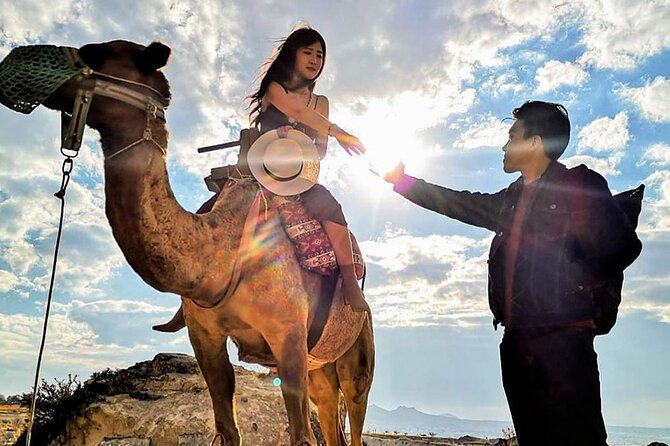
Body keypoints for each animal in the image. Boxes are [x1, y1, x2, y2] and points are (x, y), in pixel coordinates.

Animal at [2, 40, 376, 444]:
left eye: (97, 52)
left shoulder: (289, 336)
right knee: (330, 409)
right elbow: (227, 427)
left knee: (355, 409)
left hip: (355, 354)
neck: (220, 254)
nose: (18, 59)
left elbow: (301, 435)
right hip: (320, 366)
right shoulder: (204, 335)